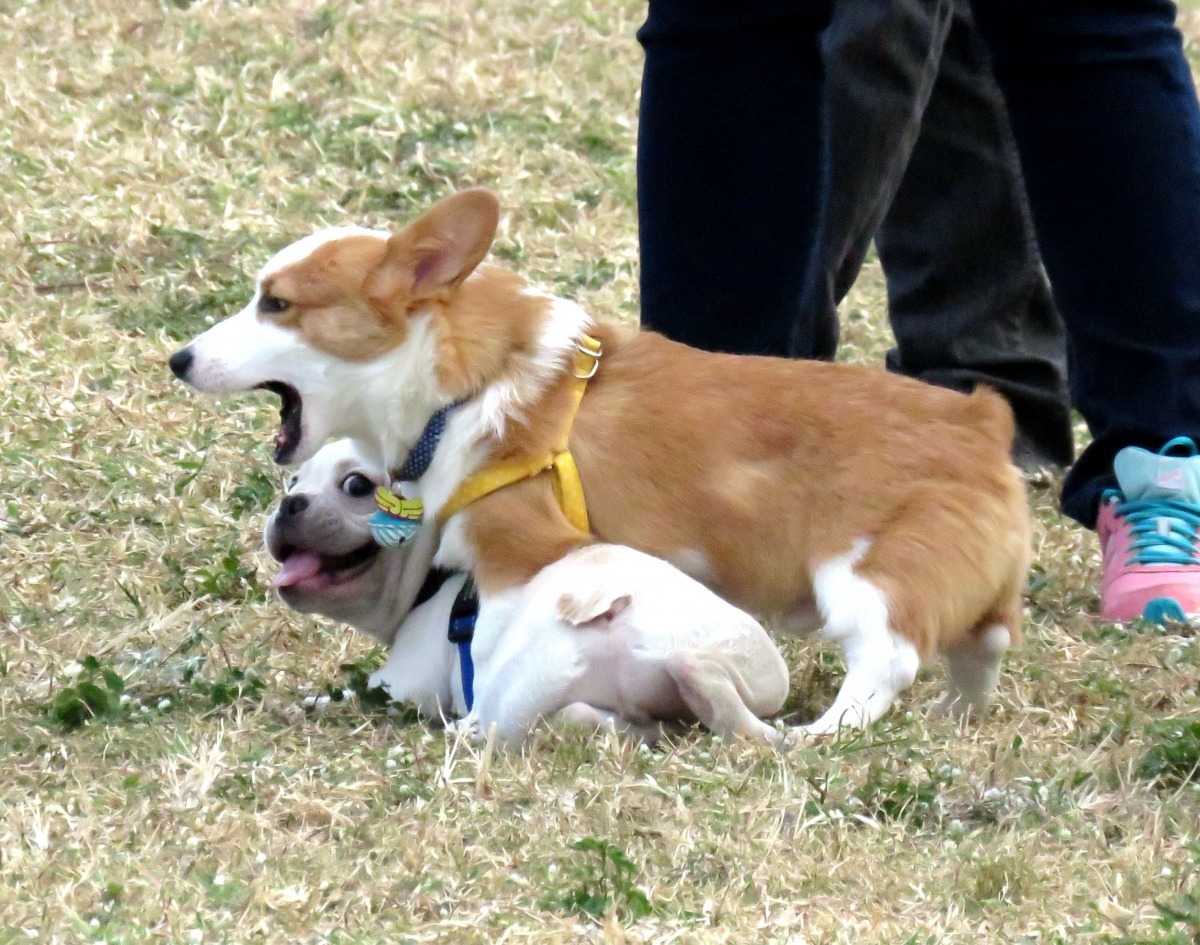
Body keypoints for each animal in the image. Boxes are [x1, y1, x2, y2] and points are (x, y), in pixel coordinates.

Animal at [171, 188, 1032, 733]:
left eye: (277, 303)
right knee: (984, 643)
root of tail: (983, 419)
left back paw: (827, 730)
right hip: (968, 592)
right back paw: (958, 717)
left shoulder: (520, 542)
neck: (459, 381)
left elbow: (506, 620)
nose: (177, 359)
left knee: (888, 660)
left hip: (863, 580)